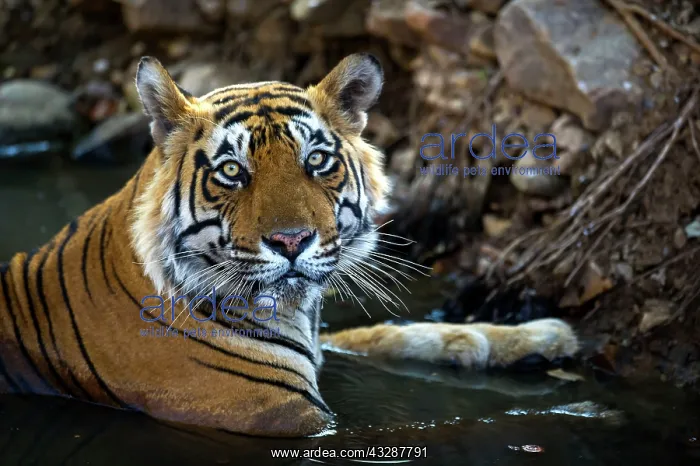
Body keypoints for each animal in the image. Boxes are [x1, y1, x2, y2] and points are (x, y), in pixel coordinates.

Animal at [0, 53, 579, 437]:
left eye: (316, 161)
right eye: (232, 171)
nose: (292, 241)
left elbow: (387, 334)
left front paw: (534, 336)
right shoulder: (283, 418)